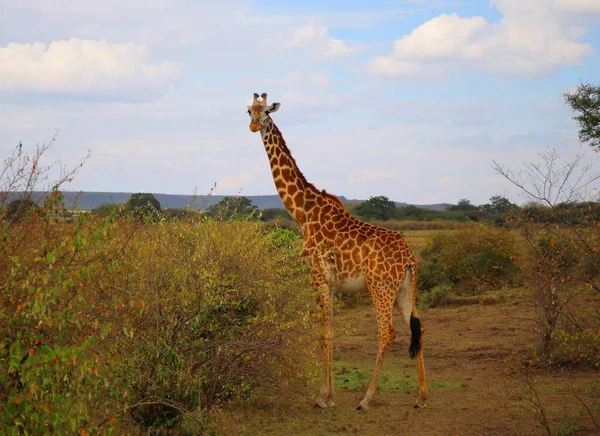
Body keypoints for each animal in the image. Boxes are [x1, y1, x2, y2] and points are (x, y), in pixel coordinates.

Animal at [246, 91, 428, 408]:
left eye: (267, 111)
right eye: (249, 111)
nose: (255, 126)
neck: (302, 212)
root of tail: (408, 258)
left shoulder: (317, 276)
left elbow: (324, 332)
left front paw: (322, 397)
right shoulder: (330, 283)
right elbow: (329, 331)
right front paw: (329, 394)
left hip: (380, 287)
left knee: (387, 332)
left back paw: (367, 398)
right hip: (406, 289)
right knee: (416, 326)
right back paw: (422, 396)